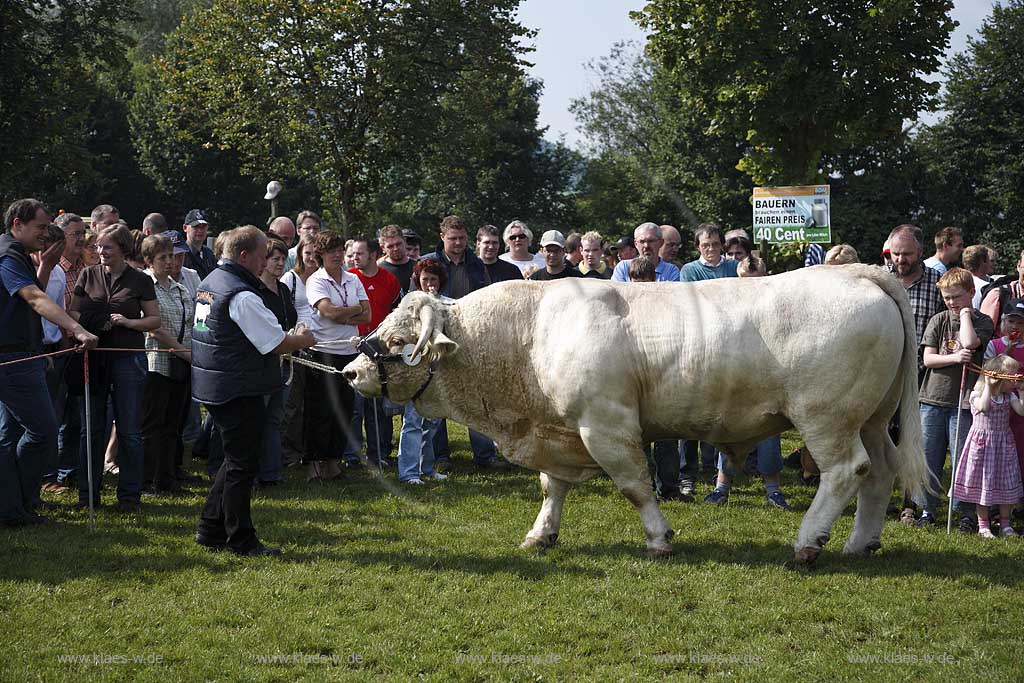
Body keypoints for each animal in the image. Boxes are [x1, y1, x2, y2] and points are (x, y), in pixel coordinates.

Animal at [342, 266, 929, 565]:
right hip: (872, 417)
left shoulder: (604, 425)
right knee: (880, 470)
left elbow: (634, 486)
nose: (350, 371)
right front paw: (541, 535)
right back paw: (860, 542)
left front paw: (659, 538)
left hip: (825, 416)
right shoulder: (560, 429)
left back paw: (808, 543)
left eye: (396, 341)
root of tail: (859, 273)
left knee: (846, 470)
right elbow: (552, 487)